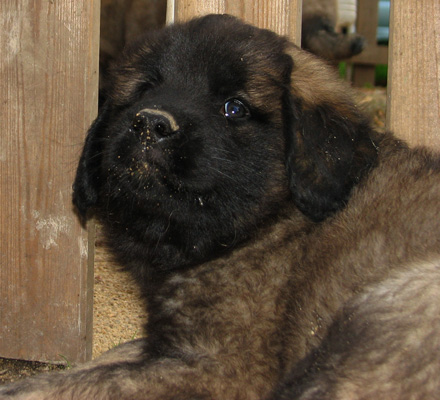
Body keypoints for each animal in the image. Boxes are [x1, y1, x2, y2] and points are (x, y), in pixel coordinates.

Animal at [0, 13, 440, 400]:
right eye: (144, 90)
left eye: (235, 108)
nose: (150, 124)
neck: (268, 222)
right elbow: (103, 360)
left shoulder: (218, 369)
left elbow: (70, 385)